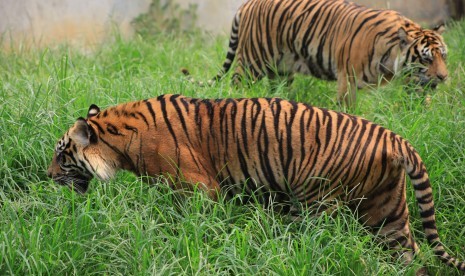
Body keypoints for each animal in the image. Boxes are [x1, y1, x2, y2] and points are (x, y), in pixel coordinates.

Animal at [48, 94, 464, 270]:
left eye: (61, 153)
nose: (48, 176)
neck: (118, 140)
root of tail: (394, 138)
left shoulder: (198, 188)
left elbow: (191, 225)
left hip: (318, 202)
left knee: (322, 240)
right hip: (386, 211)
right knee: (409, 252)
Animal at [180, 0, 446, 106]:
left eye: (444, 56)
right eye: (426, 58)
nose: (444, 77)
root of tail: (247, 4)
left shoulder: (413, 82)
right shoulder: (347, 78)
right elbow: (348, 108)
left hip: (281, 69)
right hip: (252, 63)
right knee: (236, 84)